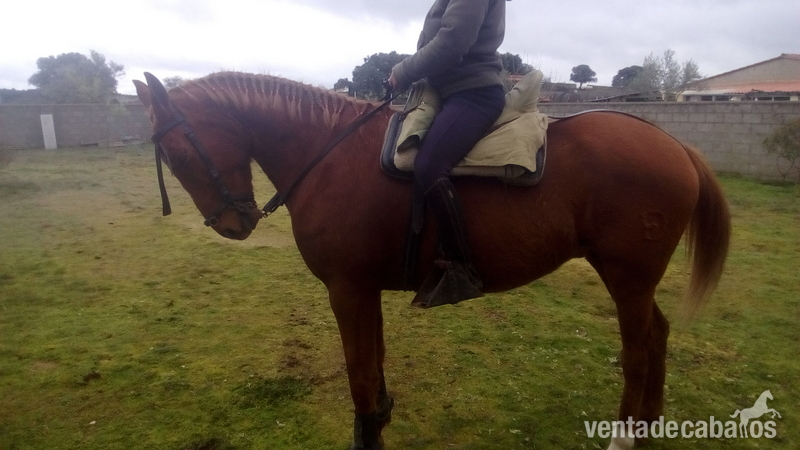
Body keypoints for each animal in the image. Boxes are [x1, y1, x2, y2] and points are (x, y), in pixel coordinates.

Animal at [134, 71, 730, 450]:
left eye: (177, 152)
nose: (232, 225)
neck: (327, 152)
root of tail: (675, 145)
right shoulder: (363, 287)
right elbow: (373, 358)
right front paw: (379, 418)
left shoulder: (345, 288)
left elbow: (358, 369)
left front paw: (367, 434)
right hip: (632, 279)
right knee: (658, 335)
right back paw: (651, 428)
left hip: (627, 277)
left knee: (637, 351)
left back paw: (625, 438)